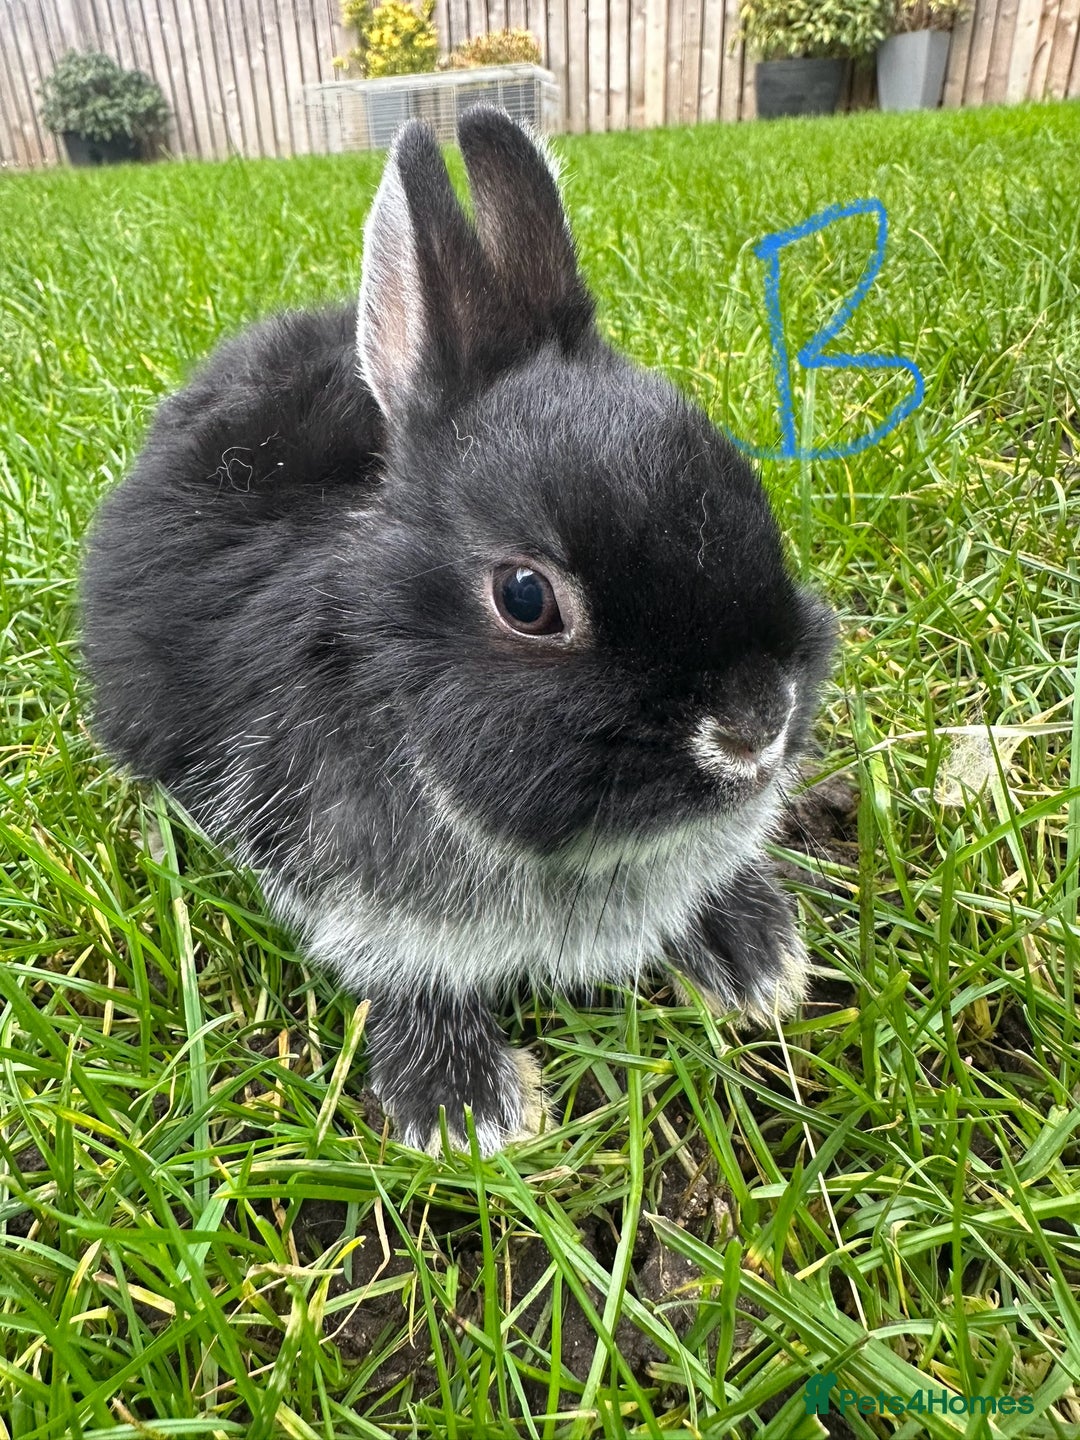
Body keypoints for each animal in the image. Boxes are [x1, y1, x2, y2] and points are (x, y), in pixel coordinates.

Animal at [80, 107, 837, 1156]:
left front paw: (756, 954)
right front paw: (466, 1111)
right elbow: (403, 972)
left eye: (746, 491)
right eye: (526, 598)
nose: (755, 727)